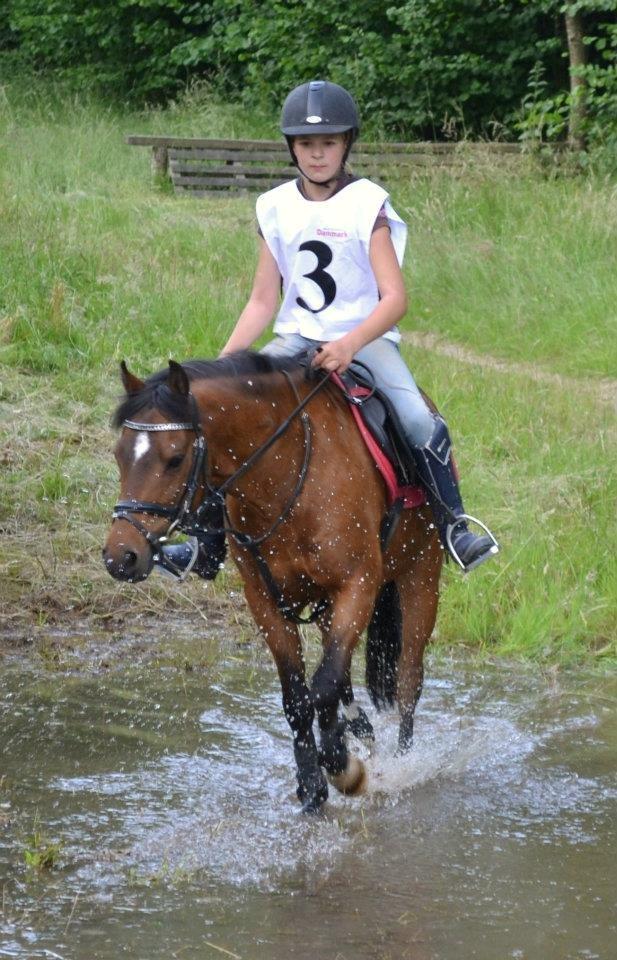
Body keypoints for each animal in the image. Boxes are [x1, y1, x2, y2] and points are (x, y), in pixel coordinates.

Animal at [101, 352, 440, 808]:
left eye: (174, 458)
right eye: (120, 454)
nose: (121, 557)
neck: (282, 479)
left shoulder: (358, 585)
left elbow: (324, 686)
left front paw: (344, 770)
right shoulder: (265, 600)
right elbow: (298, 697)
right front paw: (313, 785)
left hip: (421, 576)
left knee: (407, 682)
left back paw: (399, 761)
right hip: (327, 607)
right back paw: (357, 731)